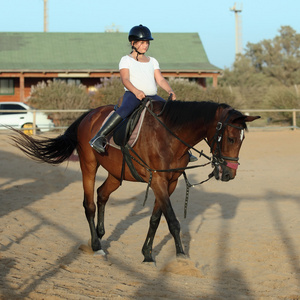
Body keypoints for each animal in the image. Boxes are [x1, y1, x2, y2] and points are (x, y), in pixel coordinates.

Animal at [10, 99, 260, 262]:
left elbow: (156, 219)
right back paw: (96, 246)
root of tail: (89, 115)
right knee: (89, 204)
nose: (228, 174)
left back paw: (100, 234)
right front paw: (181, 255)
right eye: (230, 138)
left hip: (116, 175)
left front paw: (147, 254)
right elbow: (173, 221)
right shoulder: (158, 181)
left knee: (102, 194)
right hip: (89, 166)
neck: (170, 136)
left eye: (242, 140)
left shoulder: (169, 183)